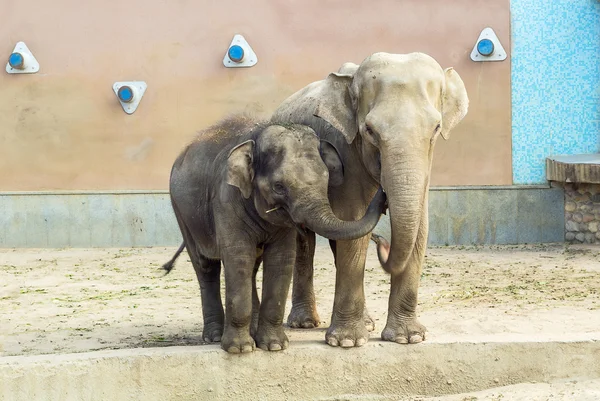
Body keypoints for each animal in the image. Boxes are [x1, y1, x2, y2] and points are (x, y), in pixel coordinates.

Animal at [164, 114, 386, 352]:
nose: (384, 196)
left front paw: (274, 346)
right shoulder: (226, 200)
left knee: (251, 268)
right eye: (279, 186)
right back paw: (214, 336)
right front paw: (239, 349)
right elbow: (238, 257)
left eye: (326, 181)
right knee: (206, 267)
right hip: (182, 213)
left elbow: (281, 259)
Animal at [272, 51, 468, 346]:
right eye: (369, 130)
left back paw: (366, 322)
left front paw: (408, 338)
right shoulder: (344, 149)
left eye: (436, 128)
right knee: (305, 240)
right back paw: (305, 322)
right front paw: (347, 342)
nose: (384, 197)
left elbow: (420, 228)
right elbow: (355, 221)